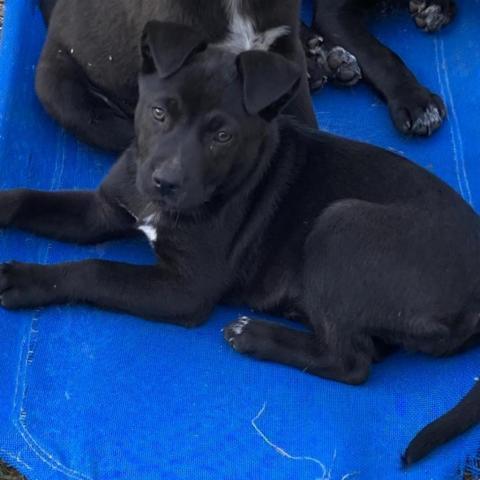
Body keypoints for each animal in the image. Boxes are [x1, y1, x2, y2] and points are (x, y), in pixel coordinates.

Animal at [1, 21, 478, 464]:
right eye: (158, 113)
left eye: (222, 136)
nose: (165, 183)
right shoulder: (104, 210)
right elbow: (25, 199)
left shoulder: (184, 291)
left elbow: (95, 270)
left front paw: (22, 281)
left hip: (340, 224)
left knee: (351, 362)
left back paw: (254, 336)